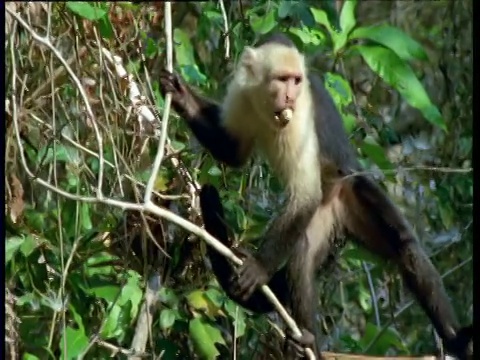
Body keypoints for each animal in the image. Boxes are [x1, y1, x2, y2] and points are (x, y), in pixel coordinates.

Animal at [159, 32, 474, 358]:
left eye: (296, 81)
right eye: (282, 79)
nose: (289, 96)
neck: (267, 105)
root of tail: (336, 203)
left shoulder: (300, 114)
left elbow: (305, 194)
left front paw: (259, 268)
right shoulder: (242, 93)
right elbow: (232, 152)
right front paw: (181, 97)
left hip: (352, 192)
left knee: (404, 249)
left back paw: (453, 339)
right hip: (323, 218)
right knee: (304, 257)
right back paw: (307, 338)